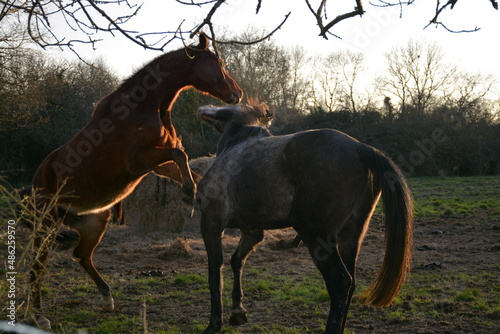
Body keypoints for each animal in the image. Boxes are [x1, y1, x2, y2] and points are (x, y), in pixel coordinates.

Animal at [196, 102, 414, 334]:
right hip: (350, 236)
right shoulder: (252, 231)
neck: (235, 147)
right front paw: (237, 311)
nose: (202, 108)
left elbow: (215, 274)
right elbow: (237, 261)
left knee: (340, 283)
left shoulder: (211, 223)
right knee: (351, 284)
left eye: (228, 106)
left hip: (315, 234)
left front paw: (214, 324)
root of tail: (359, 148)